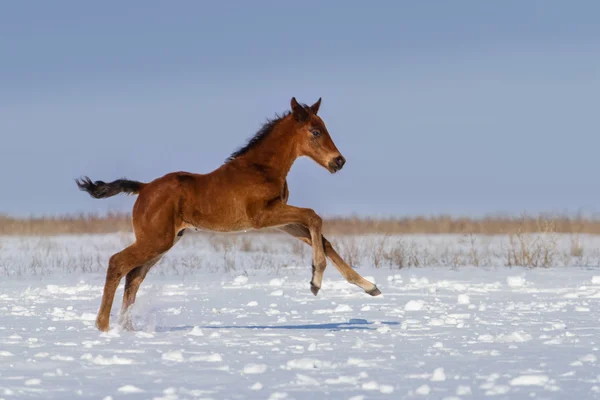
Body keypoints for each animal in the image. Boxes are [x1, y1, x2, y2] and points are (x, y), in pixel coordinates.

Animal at [77, 97, 382, 332]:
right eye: (315, 132)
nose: (339, 161)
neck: (262, 168)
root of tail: (143, 188)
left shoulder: (280, 222)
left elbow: (323, 238)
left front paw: (369, 286)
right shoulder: (263, 216)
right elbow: (314, 216)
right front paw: (315, 281)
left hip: (164, 241)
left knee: (134, 277)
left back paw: (127, 327)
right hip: (156, 240)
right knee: (118, 264)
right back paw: (104, 326)